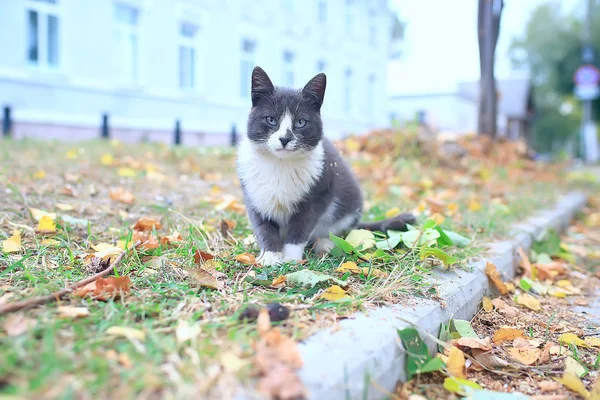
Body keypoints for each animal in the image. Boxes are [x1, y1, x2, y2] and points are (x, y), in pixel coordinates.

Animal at [237, 66, 414, 266]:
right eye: (271, 120)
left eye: (300, 122)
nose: (285, 139)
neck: (280, 164)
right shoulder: (253, 195)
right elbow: (263, 226)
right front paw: (270, 256)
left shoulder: (319, 191)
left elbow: (302, 226)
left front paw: (291, 258)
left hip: (350, 206)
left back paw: (324, 244)